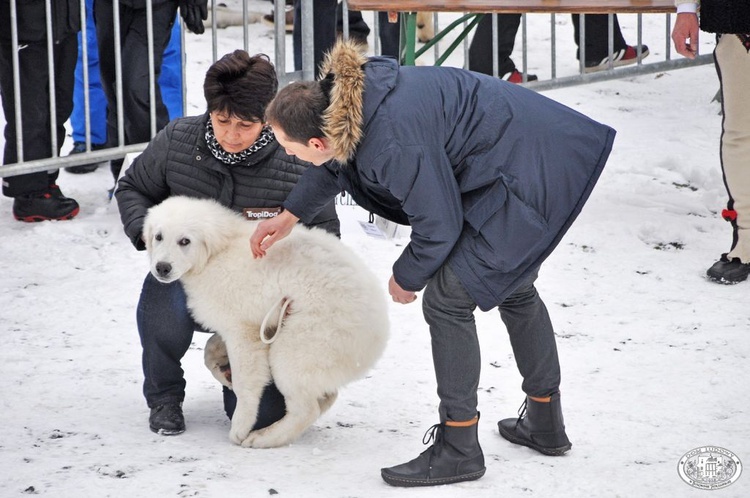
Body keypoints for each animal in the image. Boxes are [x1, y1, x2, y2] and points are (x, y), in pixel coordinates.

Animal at [143, 196, 390, 450]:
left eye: (185, 241)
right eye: (158, 236)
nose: (162, 267)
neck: (216, 255)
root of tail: (380, 329)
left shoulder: (241, 330)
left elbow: (246, 381)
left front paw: (241, 425)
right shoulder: (250, 325)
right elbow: (210, 349)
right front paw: (223, 373)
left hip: (296, 349)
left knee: (306, 409)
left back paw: (262, 437)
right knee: (325, 397)